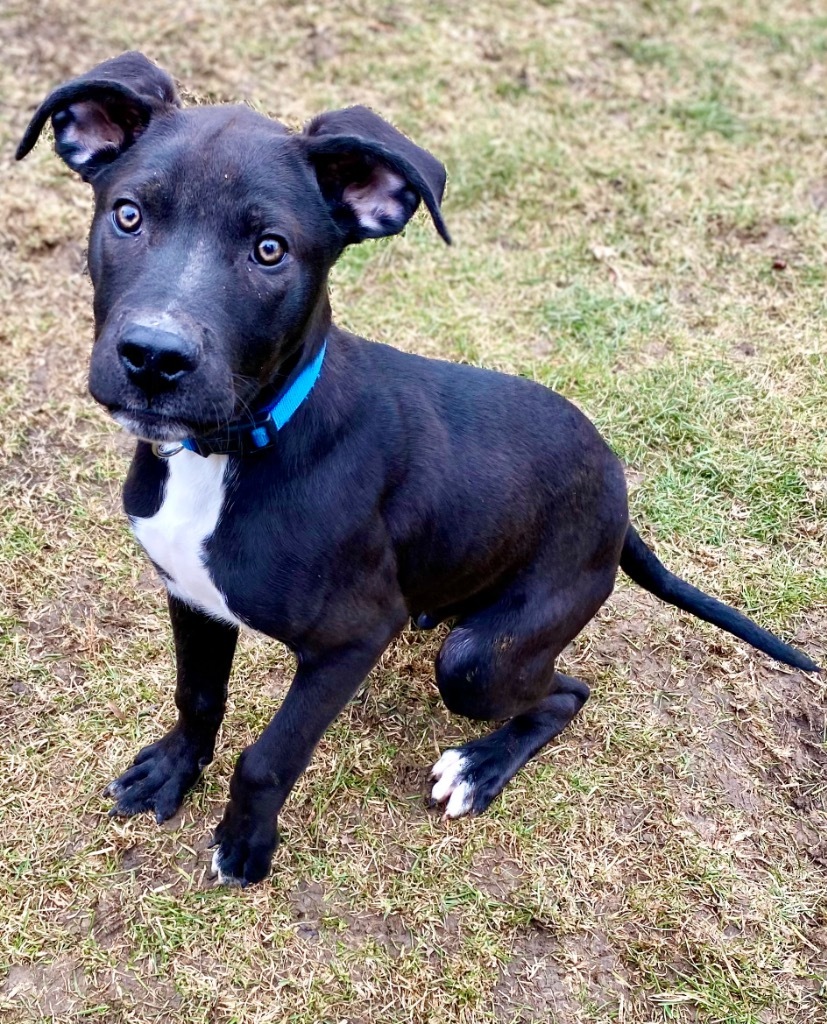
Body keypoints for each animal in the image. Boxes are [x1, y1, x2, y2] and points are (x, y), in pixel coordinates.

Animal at [16, 54, 818, 888]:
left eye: (270, 249)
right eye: (128, 215)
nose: (153, 357)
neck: (233, 451)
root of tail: (618, 499)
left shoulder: (353, 638)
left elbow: (269, 759)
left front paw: (245, 845)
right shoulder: (190, 594)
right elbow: (197, 694)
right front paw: (174, 768)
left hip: (481, 660)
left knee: (564, 690)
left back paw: (478, 767)